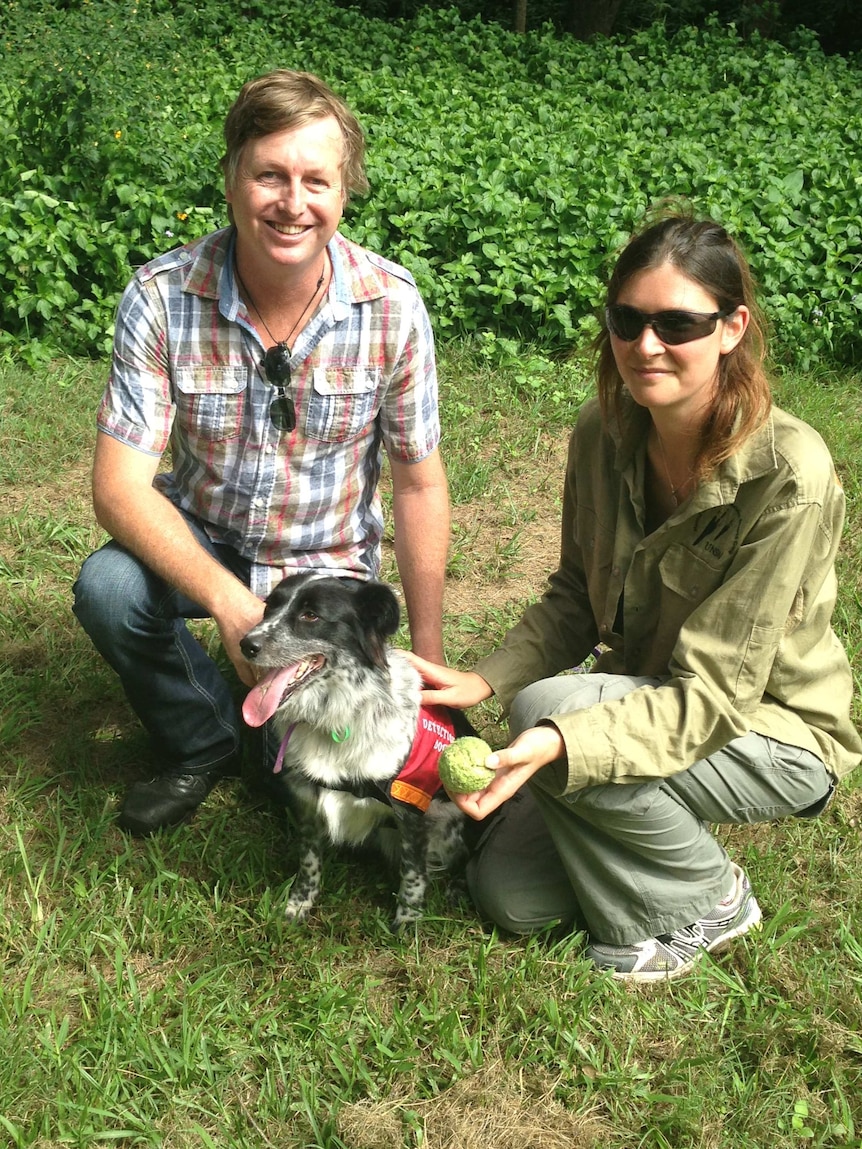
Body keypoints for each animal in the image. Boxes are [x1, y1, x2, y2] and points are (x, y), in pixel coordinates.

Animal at [240, 569, 475, 928]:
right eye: (270, 608)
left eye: (311, 615)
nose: (246, 644)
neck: (334, 717)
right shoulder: (307, 797)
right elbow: (309, 860)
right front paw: (299, 903)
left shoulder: (411, 810)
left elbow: (413, 873)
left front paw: (407, 923)